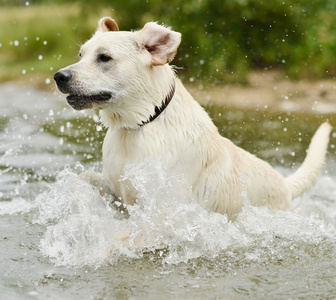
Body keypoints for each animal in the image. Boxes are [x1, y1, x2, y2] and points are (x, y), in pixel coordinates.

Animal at [53, 18, 332, 220]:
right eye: (80, 55)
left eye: (104, 57)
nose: (59, 76)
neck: (139, 125)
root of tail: (284, 185)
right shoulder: (118, 188)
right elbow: (85, 178)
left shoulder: (161, 209)